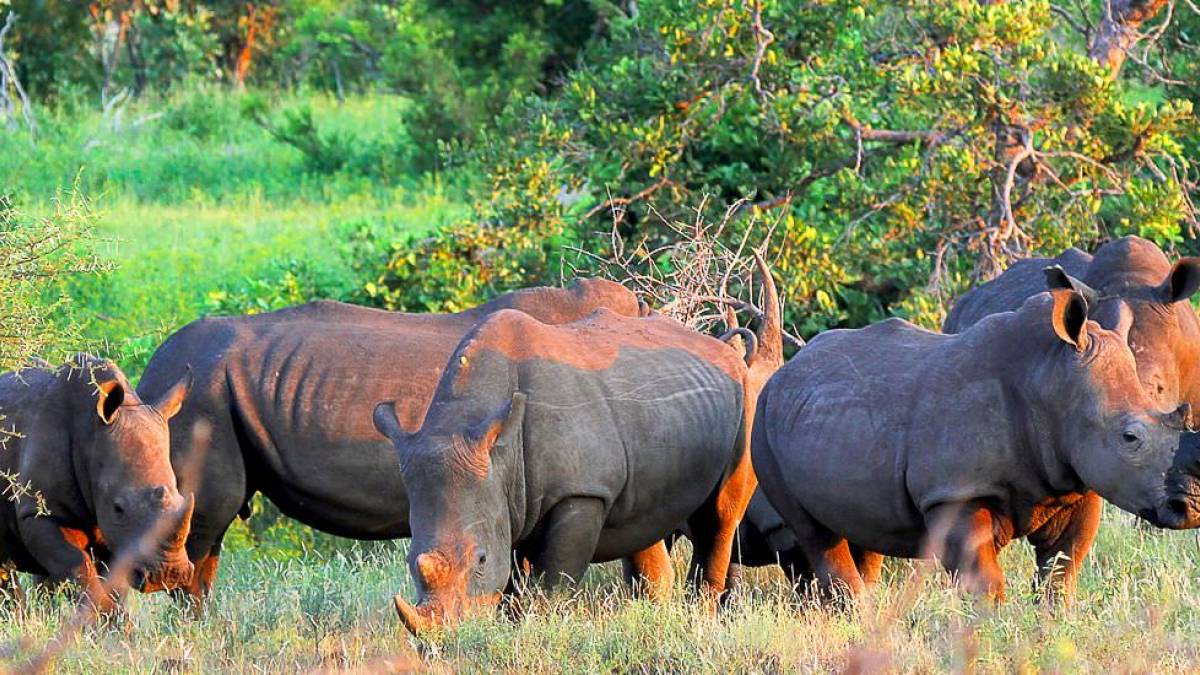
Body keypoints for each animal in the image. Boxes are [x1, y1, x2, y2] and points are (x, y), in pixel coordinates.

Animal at [0, 355, 193, 610]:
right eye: (118, 508)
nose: (169, 575)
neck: (90, 435)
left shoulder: (114, 530)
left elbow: (115, 584)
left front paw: (114, 620)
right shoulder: (39, 513)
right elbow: (77, 567)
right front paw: (97, 614)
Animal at [373, 307, 769, 635]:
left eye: (481, 558)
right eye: (409, 561)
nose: (440, 639)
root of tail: (728, 352)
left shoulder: (581, 492)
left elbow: (554, 580)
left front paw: (538, 629)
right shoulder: (507, 495)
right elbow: (514, 583)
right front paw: (509, 629)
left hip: (747, 400)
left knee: (718, 517)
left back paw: (698, 620)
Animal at [737, 235, 1200, 594]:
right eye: (1130, 437)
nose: (1190, 507)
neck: (1052, 381)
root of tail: (786, 370)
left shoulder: (1078, 482)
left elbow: (1061, 573)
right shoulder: (956, 491)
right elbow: (985, 582)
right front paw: (990, 632)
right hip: (761, 430)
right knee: (816, 536)